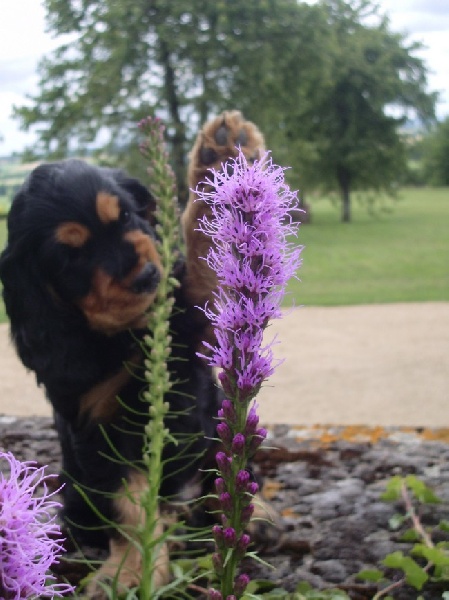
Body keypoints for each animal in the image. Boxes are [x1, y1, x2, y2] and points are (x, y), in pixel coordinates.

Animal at [0, 112, 266, 596]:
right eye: (70, 257)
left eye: (125, 215)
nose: (145, 277)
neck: (129, 335)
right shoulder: (97, 426)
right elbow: (127, 505)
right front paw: (127, 573)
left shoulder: (190, 315)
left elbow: (198, 256)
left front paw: (220, 151)